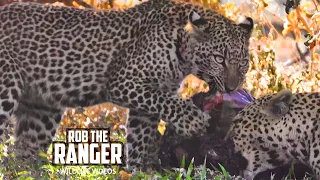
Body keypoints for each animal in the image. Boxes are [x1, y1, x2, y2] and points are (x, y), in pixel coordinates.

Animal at [0, 0, 254, 170]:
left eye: (243, 63)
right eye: (219, 59)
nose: (231, 88)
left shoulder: (151, 97)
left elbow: (141, 135)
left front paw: (137, 170)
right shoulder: (124, 81)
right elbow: (169, 104)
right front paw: (191, 120)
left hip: (42, 111)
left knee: (24, 149)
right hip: (6, 89)